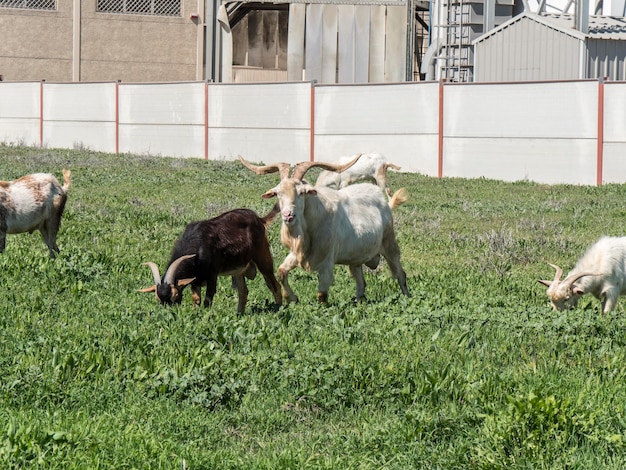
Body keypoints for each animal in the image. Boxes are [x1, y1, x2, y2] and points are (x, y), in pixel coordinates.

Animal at [140, 207, 282, 314]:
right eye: (158, 299)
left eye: (175, 295)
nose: (170, 313)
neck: (197, 244)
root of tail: (259, 219)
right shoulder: (195, 279)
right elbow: (196, 298)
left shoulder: (212, 275)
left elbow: (208, 298)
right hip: (239, 269)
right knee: (243, 291)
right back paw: (239, 314)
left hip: (262, 257)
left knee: (274, 284)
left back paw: (279, 308)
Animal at [240, 154, 410, 302]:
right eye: (277, 193)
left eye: (301, 193)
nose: (288, 215)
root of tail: (385, 203)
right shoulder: (297, 253)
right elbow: (281, 271)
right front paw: (292, 298)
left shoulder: (327, 262)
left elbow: (322, 294)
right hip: (356, 258)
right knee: (361, 283)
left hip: (389, 244)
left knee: (400, 273)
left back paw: (406, 297)